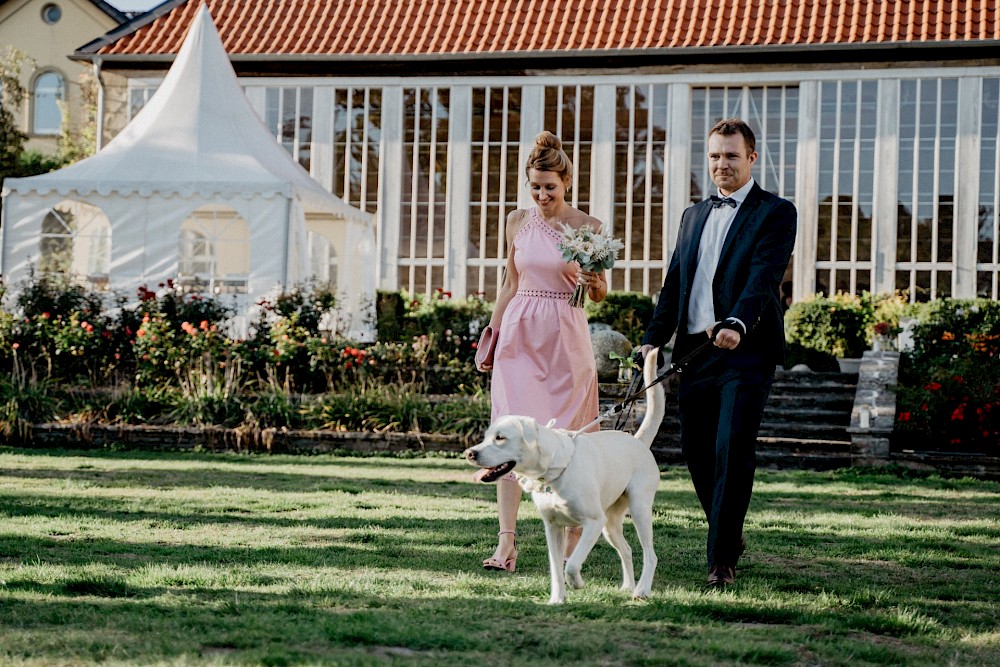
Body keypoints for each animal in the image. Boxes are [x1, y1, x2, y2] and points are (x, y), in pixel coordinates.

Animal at [464, 350, 668, 604]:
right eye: (486, 437)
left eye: (500, 438)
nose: (470, 453)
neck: (553, 472)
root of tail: (638, 441)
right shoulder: (552, 528)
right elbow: (555, 569)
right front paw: (556, 599)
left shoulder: (592, 523)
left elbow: (571, 564)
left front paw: (577, 583)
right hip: (610, 524)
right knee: (627, 550)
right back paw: (628, 586)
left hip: (638, 510)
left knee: (650, 554)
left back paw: (642, 590)